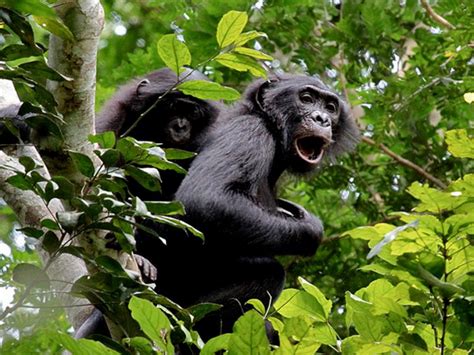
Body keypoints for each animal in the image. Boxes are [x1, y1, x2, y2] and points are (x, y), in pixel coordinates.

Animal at [145, 73, 360, 340]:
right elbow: (205, 200)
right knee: (269, 273)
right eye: (307, 98)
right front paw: (311, 228)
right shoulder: (249, 133)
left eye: (330, 107)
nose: (322, 118)